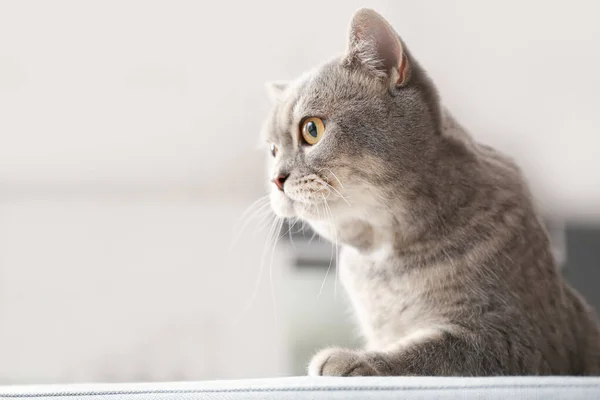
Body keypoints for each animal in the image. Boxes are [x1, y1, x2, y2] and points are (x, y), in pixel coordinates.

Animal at [258, 7, 600, 376]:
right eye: (273, 151)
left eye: (312, 129)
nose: (276, 179)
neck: (384, 256)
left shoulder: (518, 341)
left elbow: (430, 351)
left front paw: (351, 359)